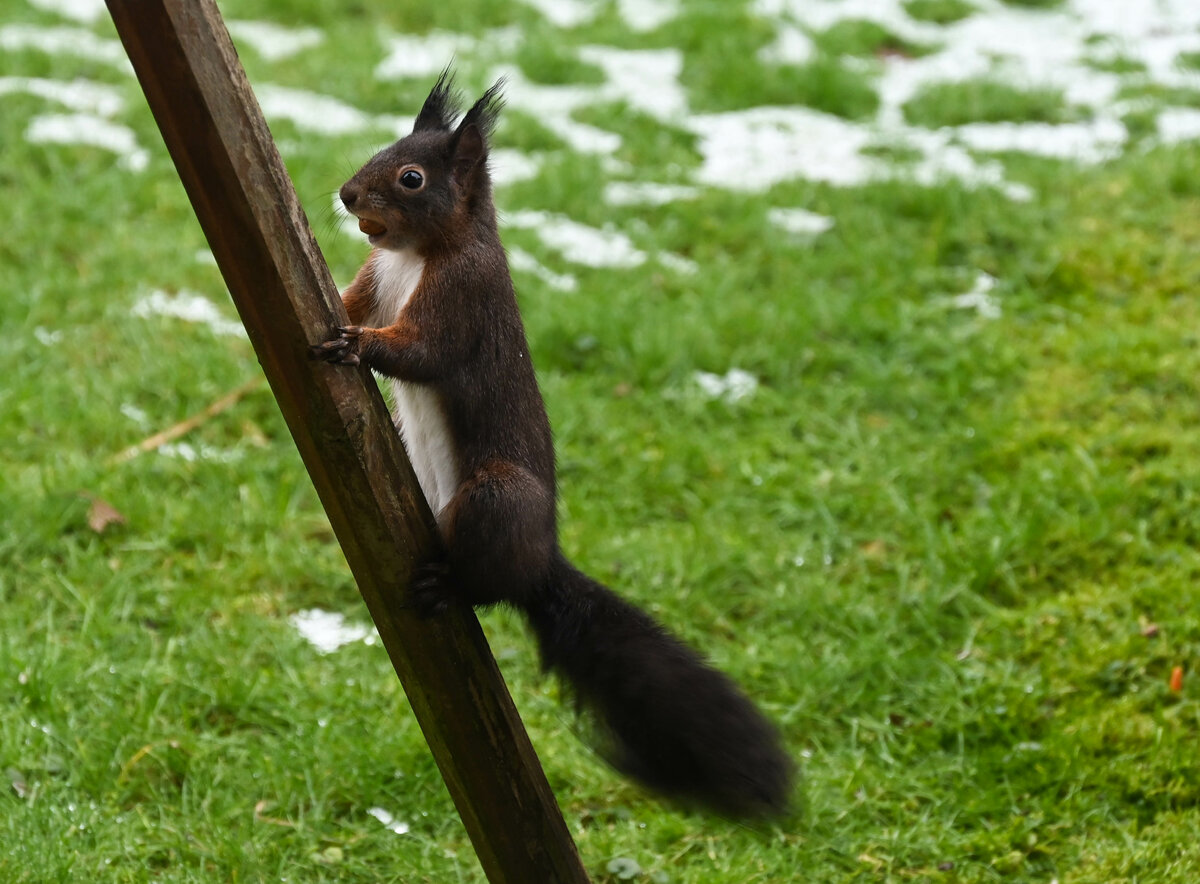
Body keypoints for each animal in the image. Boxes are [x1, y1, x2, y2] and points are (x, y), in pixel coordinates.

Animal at [313, 71, 792, 817]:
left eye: (412, 178)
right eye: (384, 149)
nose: (346, 195)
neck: (413, 257)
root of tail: (542, 561)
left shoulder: (465, 298)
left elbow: (424, 352)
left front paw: (358, 347)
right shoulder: (374, 281)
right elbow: (350, 299)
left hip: (498, 497)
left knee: (489, 585)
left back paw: (452, 584)